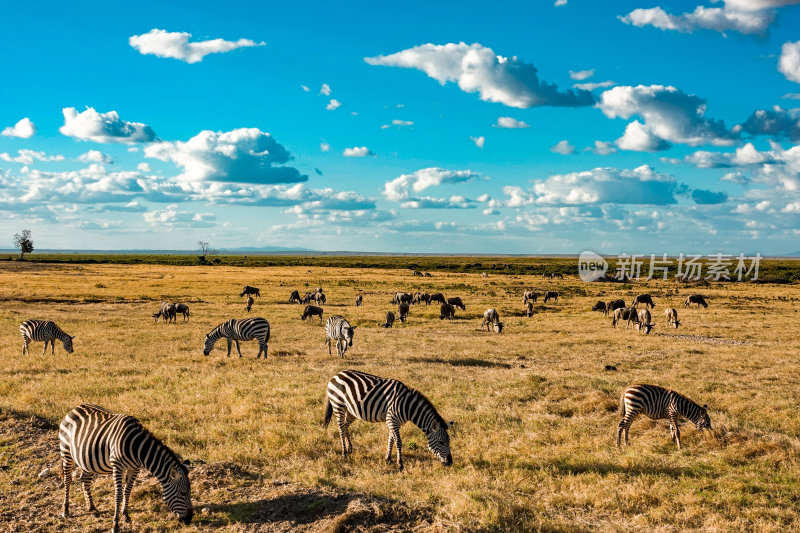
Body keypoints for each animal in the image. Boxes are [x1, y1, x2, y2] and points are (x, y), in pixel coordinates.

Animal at [58, 404, 193, 532]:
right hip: (66, 452)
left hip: (88, 460)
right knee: (68, 480)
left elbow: (127, 490)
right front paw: (115, 524)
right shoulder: (117, 466)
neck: (138, 448)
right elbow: (118, 494)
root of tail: (75, 408)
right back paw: (66, 510)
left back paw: (92, 508)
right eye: (183, 493)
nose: (190, 519)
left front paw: (126, 515)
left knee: (85, 480)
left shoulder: (135, 468)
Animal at [322, 370, 454, 470]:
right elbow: (398, 441)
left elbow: (391, 439)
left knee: (345, 426)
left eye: (449, 442)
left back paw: (350, 448)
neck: (407, 406)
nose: (450, 462)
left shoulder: (394, 422)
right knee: (340, 429)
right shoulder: (392, 420)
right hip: (338, 405)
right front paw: (400, 464)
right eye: (442, 442)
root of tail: (336, 374)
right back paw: (344, 453)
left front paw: (388, 459)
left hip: (351, 411)